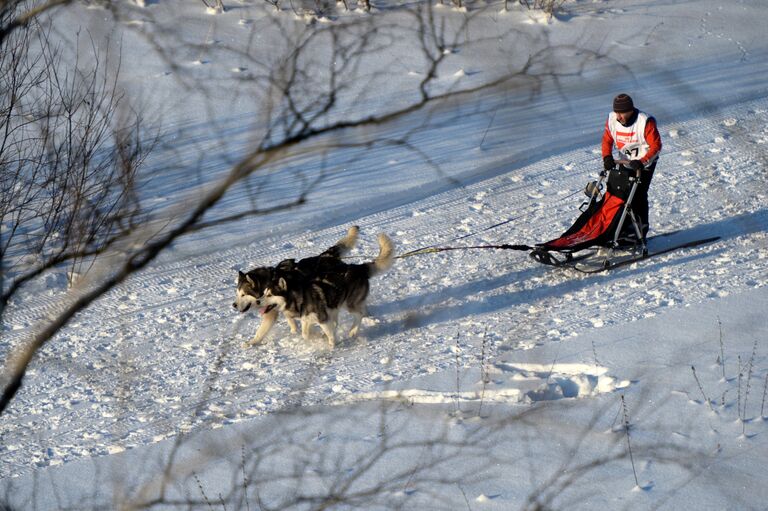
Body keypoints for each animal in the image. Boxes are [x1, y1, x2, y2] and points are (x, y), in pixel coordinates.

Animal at [258, 235, 392, 348]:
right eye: (264, 293)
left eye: (270, 294)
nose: (258, 301)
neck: (300, 297)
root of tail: (359, 268)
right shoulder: (307, 319)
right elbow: (305, 334)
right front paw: (316, 337)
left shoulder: (323, 319)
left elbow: (330, 335)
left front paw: (332, 345)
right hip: (336, 304)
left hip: (349, 304)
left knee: (359, 314)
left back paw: (353, 331)